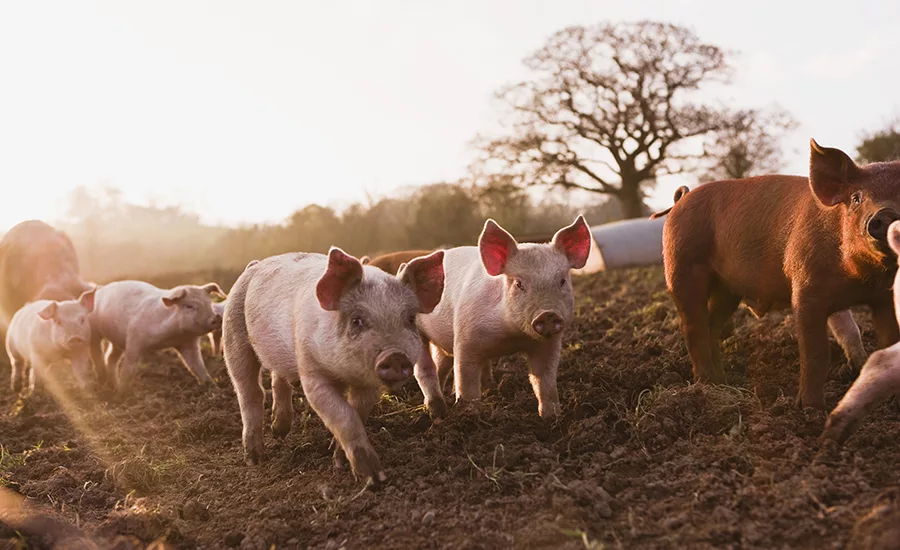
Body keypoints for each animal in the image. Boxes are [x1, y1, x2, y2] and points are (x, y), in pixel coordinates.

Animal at [88, 280, 227, 393]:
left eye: (209, 303)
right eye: (189, 306)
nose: (217, 318)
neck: (171, 337)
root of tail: (101, 289)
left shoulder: (188, 343)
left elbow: (198, 367)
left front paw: (216, 389)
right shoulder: (134, 339)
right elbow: (130, 369)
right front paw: (123, 394)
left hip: (118, 341)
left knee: (110, 357)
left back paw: (113, 384)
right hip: (93, 331)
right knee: (97, 353)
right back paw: (105, 380)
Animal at [223, 247, 444, 484]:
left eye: (410, 320)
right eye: (357, 320)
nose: (395, 355)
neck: (345, 374)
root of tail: (254, 265)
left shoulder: (369, 385)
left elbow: (357, 413)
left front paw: (339, 462)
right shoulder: (312, 372)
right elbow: (344, 416)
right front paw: (374, 478)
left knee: (278, 379)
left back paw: (279, 432)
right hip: (233, 336)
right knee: (250, 392)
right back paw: (254, 459)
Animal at [413, 216, 591, 422]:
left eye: (562, 281)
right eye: (519, 283)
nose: (547, 313)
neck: (512, 337)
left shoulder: (549, 344)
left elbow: (544, 380)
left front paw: (551, 417)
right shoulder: (465, 339)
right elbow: (466, 380)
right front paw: (470, 413)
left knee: (441, 365)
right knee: (425, 369)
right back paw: (437, 411)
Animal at [656, 139, 900, 409]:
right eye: (856, 198)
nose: (886, 214)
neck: (860, 279)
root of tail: (681, 199)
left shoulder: (885, 297)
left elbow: (886, 341)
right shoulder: (806, 290)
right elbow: (816, 352)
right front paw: (810, 408)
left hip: (727, 290)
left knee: (711, 326)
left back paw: (722, 381)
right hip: (682, 269)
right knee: (693, 326)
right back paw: (706, 384)